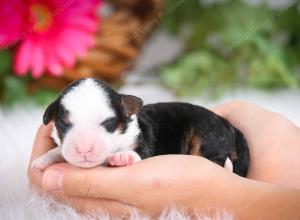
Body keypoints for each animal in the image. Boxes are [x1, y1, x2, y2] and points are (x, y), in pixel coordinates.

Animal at [31, 78, 250, 176]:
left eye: (108, 123)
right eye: (64, 124)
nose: (84, 149)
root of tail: (229, 125)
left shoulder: (144, 141)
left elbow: (141, 152)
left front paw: (123, 157)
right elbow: (60, 150)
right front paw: (42, 160)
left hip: (207, 137)